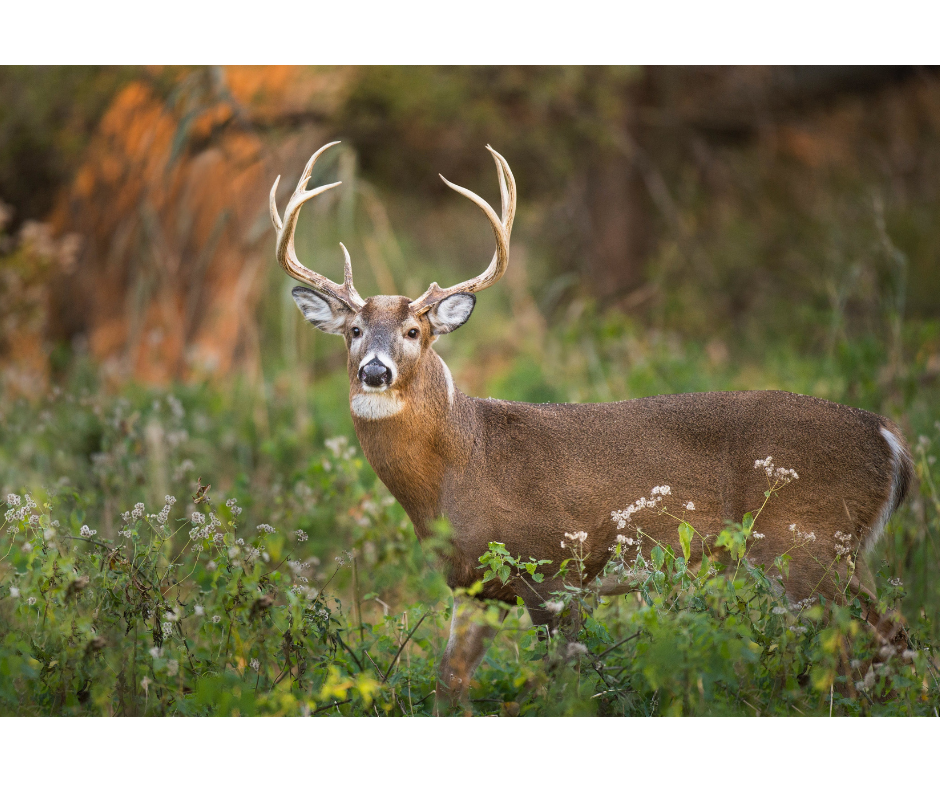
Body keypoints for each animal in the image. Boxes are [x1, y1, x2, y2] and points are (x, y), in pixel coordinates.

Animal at [269, 141, 915, 711]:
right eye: (354, 330)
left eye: (414, 331)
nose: (375, 371)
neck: (463, 463)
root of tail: (888, 437)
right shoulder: (472, 585)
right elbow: (448, 685)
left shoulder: (558, 569)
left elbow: (566, 683)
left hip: (810, 543)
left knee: (884, 638)